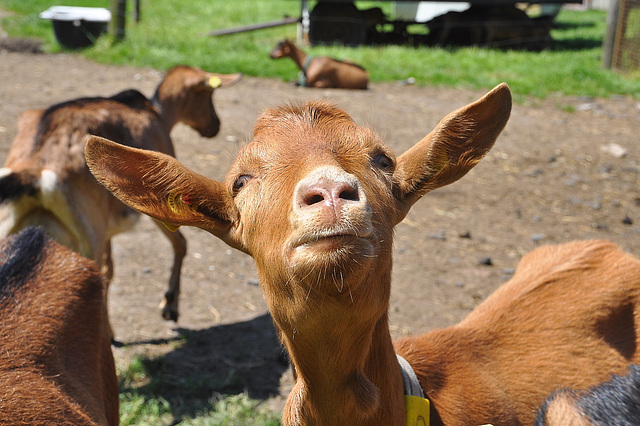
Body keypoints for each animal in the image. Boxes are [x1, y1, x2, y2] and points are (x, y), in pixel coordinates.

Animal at [0, 65, 242, 340]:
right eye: (208, 94)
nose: (215, 126)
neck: (157, 113)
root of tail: (36, 172)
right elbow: (179, 243)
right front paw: (169, 306)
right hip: (89, 233)